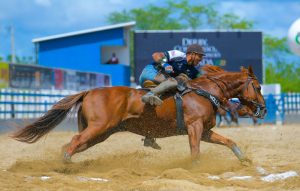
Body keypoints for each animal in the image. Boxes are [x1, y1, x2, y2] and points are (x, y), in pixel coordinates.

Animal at [11, 65, 266, 163]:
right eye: (258, 86)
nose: (263, 109)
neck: (205, 91)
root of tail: (89, 91)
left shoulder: (205, 131)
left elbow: (229, 141)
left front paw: (244, 159)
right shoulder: (194, 128)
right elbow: (195, 153)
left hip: (99, 134)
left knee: (72, 145)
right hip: (98, 128)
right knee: (73, 142)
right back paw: (65, 164)